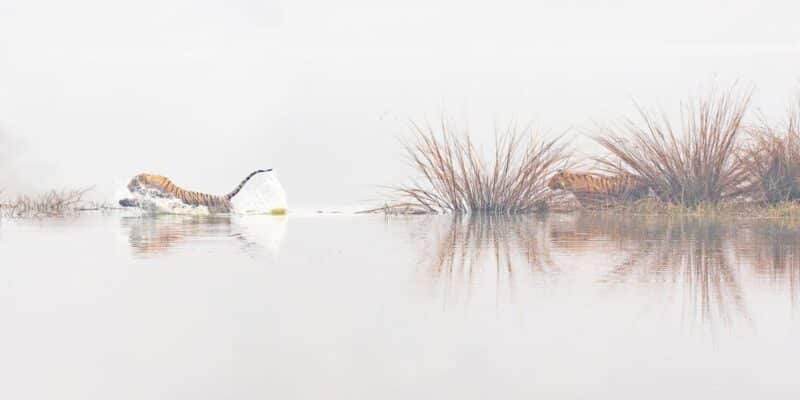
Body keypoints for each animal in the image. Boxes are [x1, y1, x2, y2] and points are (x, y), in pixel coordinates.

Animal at [118, 169, 272, 213]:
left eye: (133, 181)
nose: (127, 186)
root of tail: (225, 197)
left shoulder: (160, 199)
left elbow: (140, 201)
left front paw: (123, 201)